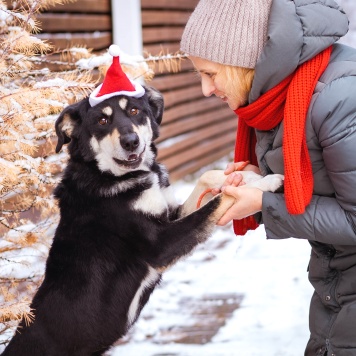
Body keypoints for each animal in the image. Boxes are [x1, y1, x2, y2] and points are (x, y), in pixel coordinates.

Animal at [1, 86, 282, 356]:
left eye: (135, 111)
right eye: (102, 120)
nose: (130, 141)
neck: (108, 176)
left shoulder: (169, 215)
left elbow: (209, 178)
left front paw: (248, 177)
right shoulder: (162, 245)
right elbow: (220, 200)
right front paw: (265, 184)